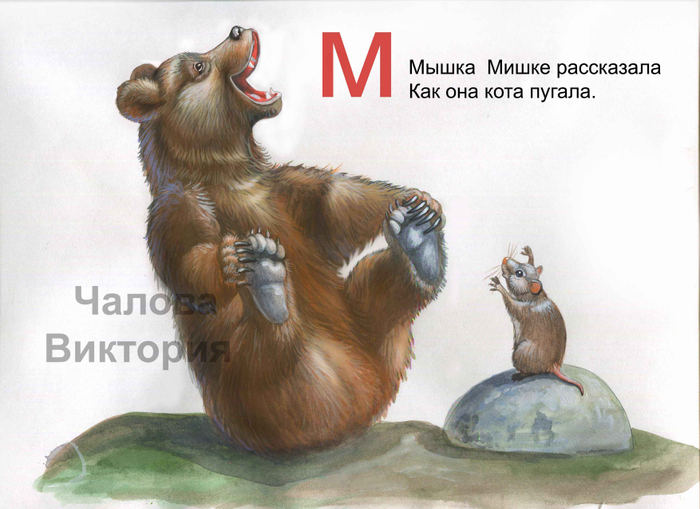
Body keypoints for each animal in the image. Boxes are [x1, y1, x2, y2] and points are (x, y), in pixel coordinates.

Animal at [116, 26, 447, 454]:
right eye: (199, 66)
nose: (237, 30)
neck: (224, 174)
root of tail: (357, 411)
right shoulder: (178, 205)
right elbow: (187, 257)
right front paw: (230, 257)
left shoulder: (284, 190)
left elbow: (336, 200)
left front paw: (416, 201)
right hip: (254, 397)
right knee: (272, 364)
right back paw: (268, 281)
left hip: (373, 342)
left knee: (377, 290)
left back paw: (417, 242)